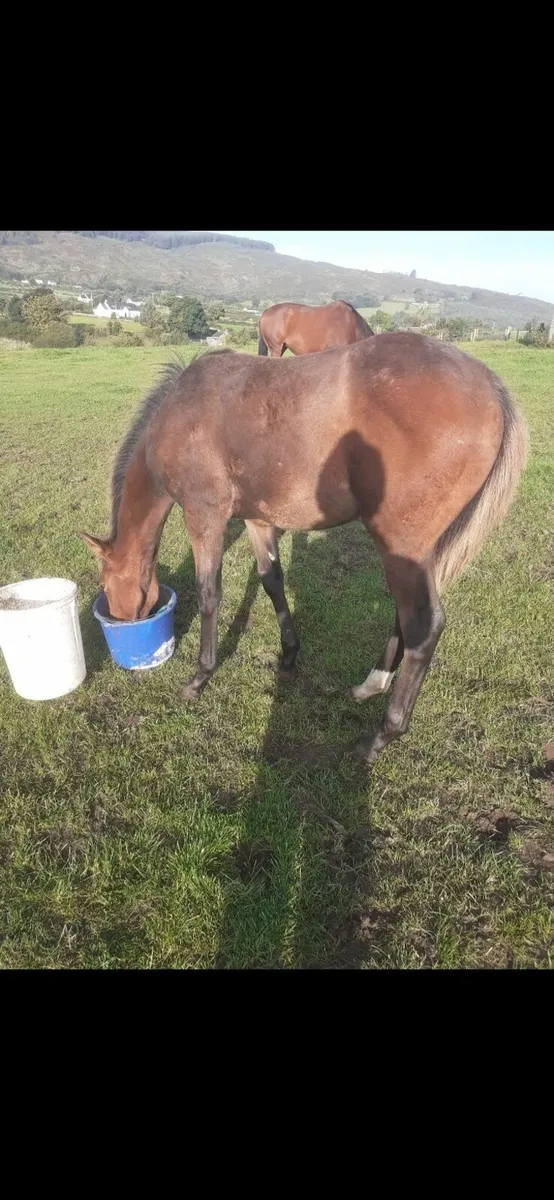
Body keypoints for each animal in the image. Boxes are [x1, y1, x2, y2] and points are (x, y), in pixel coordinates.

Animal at [81, 333, 528, 764]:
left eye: (105, 582)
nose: (119, 620)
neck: (178, 414)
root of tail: (491, 387)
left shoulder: (203, 515)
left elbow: (210, 594)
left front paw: (199, 677)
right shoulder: (257, 519)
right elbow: (271, 581)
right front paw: (290, 653)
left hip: (403, 545)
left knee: (424, 625)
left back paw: (381, 736)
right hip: (413, 554)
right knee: (404, 618)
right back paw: (371, 685)